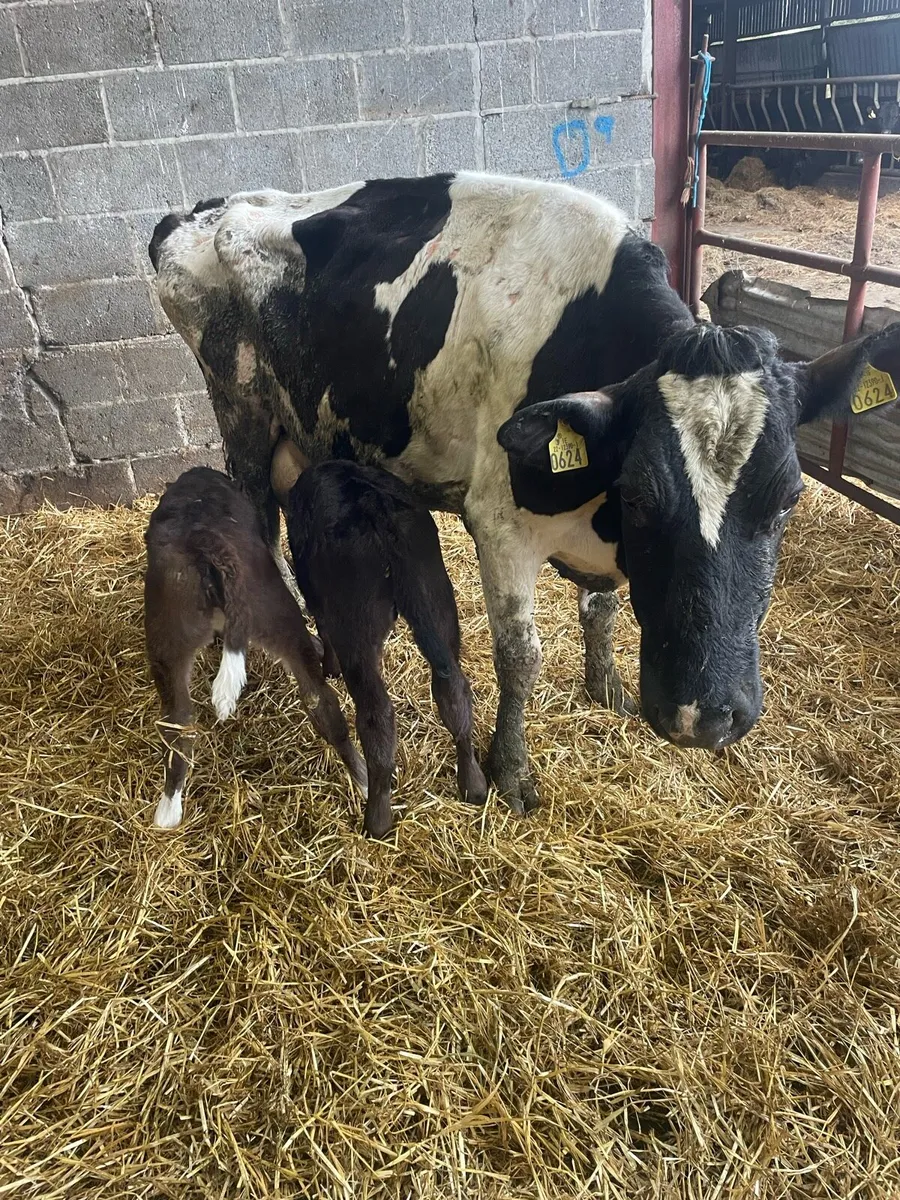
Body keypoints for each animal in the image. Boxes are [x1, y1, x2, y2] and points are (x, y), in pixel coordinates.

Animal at [149, 171, 900, 814]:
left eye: (787, 501)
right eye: (644, 498)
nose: (703, 717)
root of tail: (205, 209)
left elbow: (601, 608)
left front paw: (607, 687)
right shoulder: (501, 523)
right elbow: (521, 657)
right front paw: (510, 771)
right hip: (239, 409)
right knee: (260, 527)